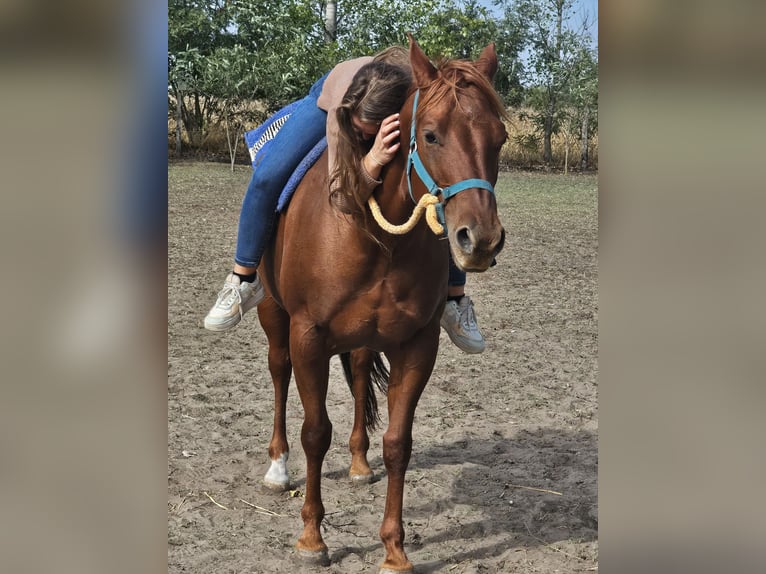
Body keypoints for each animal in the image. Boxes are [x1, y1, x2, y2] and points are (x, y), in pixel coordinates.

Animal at [255, 36, 507, 573]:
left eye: (498, 138)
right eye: (430, 136)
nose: (480, 240)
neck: (376, 235)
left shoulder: (417, 344)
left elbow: (398, 444)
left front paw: (394, 549)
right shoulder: (308, 337)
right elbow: (315, 433)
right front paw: (312, 537)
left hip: (365, 338)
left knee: (357, 375)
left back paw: (357, 461)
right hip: (275, 317)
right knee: (279, 373)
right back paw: (277, 467)